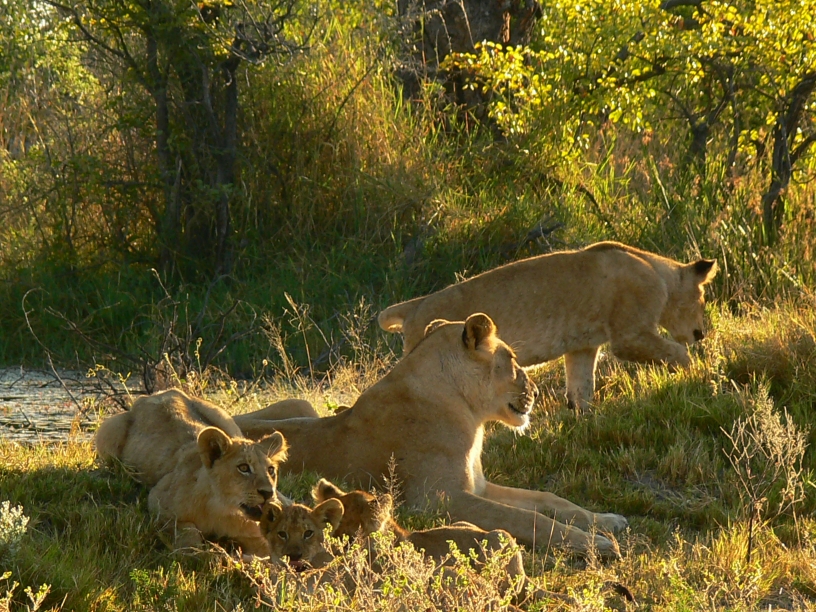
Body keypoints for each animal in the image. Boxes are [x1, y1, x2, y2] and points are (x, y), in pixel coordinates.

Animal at [95, 389, 289, 555]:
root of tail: (160, 393)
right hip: (109, 430)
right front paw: (204, 552)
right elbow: (188, 532)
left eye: (271, 470)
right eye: (243, 468)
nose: (267, 493)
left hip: (226, 421)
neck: (221, 509)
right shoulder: (158, 501)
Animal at [234, 313, 627, 558]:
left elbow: (549, 499)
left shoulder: (477, 487)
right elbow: (524, 518)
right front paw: (597, 544)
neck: (468, 412)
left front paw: (608, 521)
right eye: (513, 360)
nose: (535, 390)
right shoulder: (438, 500)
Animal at [377, 241, 717, 410]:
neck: (658, 274)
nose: (700, 333)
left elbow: (581, 388)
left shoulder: (582, 347)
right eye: (702, 298)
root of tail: (416, 305)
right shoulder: (630, 335)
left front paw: (585, 421)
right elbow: (676, 353)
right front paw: (699, 378)